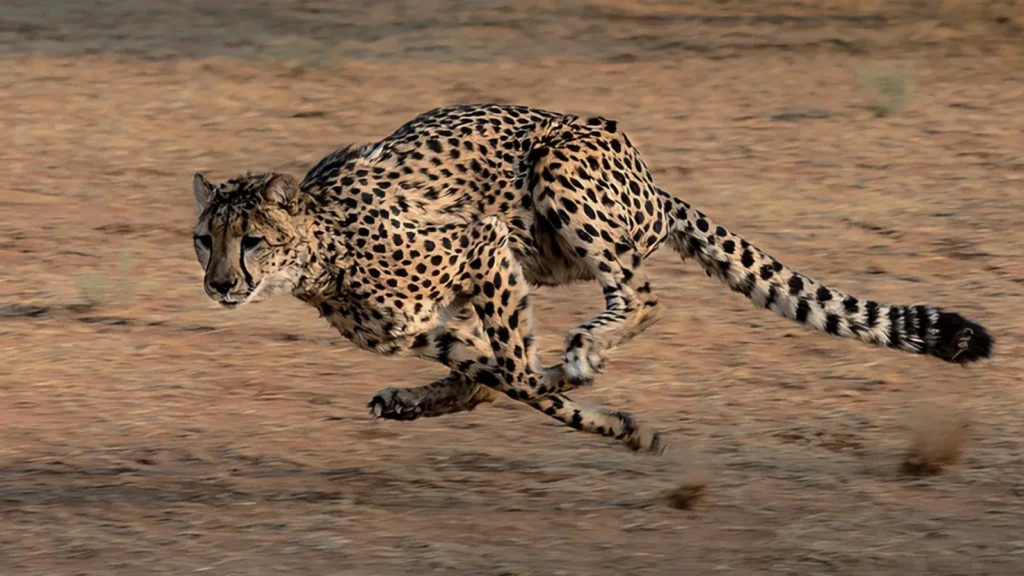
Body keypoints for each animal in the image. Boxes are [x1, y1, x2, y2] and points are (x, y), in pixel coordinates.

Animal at [191, 103, 993, 454]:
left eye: (251, 240)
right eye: (205, 240)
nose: (220, 285)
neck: (321, 253)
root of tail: (651, 180)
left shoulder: (482, 244)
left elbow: (519, 374)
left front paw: (610, 417)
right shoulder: (430, 326)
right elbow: (500, 378)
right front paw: (609, 419)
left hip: (558, 174)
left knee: (641, 295)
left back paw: (584, 351)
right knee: (497, 373)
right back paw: (430, 397)